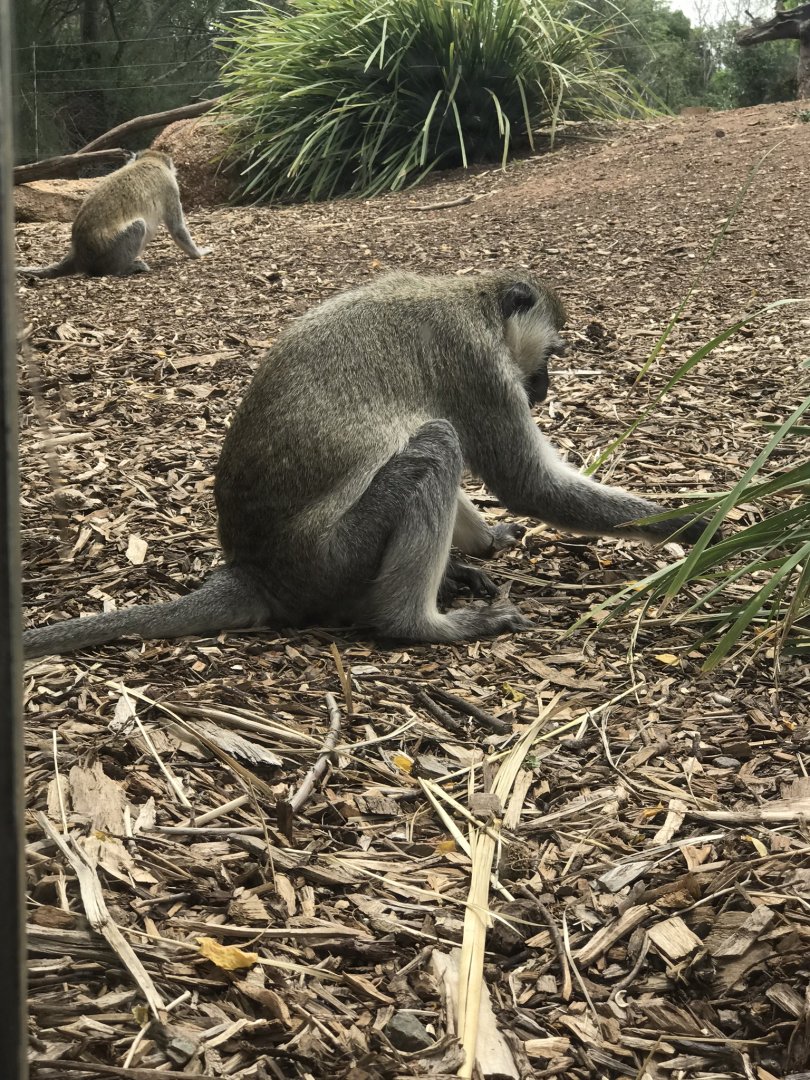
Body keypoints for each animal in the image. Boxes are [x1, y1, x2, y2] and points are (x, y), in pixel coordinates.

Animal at [18, 150, 210, 278]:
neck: (149, 160)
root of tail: (79, 253)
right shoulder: (170, 186)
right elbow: (178, 229)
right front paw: (200, 253)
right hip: (107, 250)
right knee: (138, 227)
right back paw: (122, 269)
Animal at [23, 269, 709, 658]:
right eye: (552, 356)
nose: (542, 389)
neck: (473, 297)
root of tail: (260, 569)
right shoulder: (478, 365)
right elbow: (529, 484)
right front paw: (698, 527)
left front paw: (484, 542)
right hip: (335, 558)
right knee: (437, 442)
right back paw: (420, 625)